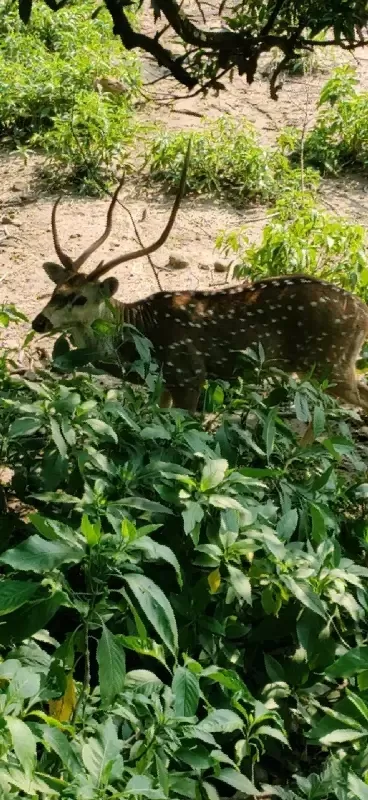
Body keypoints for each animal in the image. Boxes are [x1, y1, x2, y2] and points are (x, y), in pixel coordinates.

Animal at [31, 145, 368, 416]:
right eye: (55, 290)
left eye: (81, 298)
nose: (39, 322)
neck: (140, 335)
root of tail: (362, 310)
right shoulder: (165, 384)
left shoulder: (188, 374)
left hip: (329, 361)